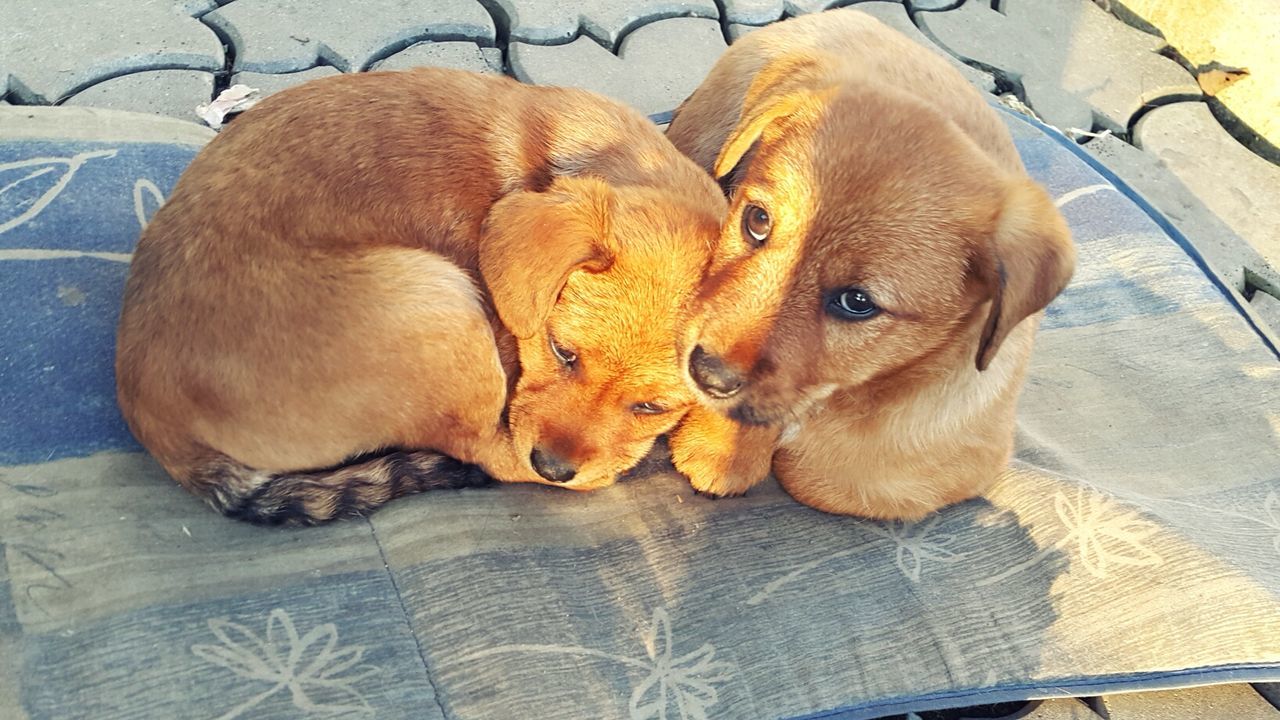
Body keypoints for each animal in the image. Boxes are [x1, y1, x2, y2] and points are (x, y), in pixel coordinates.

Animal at [120, 68, 732, 520]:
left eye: (652, 406)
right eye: (562, 352)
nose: (553, 465)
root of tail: (158, 427)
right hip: (438, 305)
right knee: (484, 453)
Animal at [665, 8, 1075, 517]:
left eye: (857, 302)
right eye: (757, 220)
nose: (706, 374)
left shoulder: (947, 465)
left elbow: (824, 473)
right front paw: (721, 447)